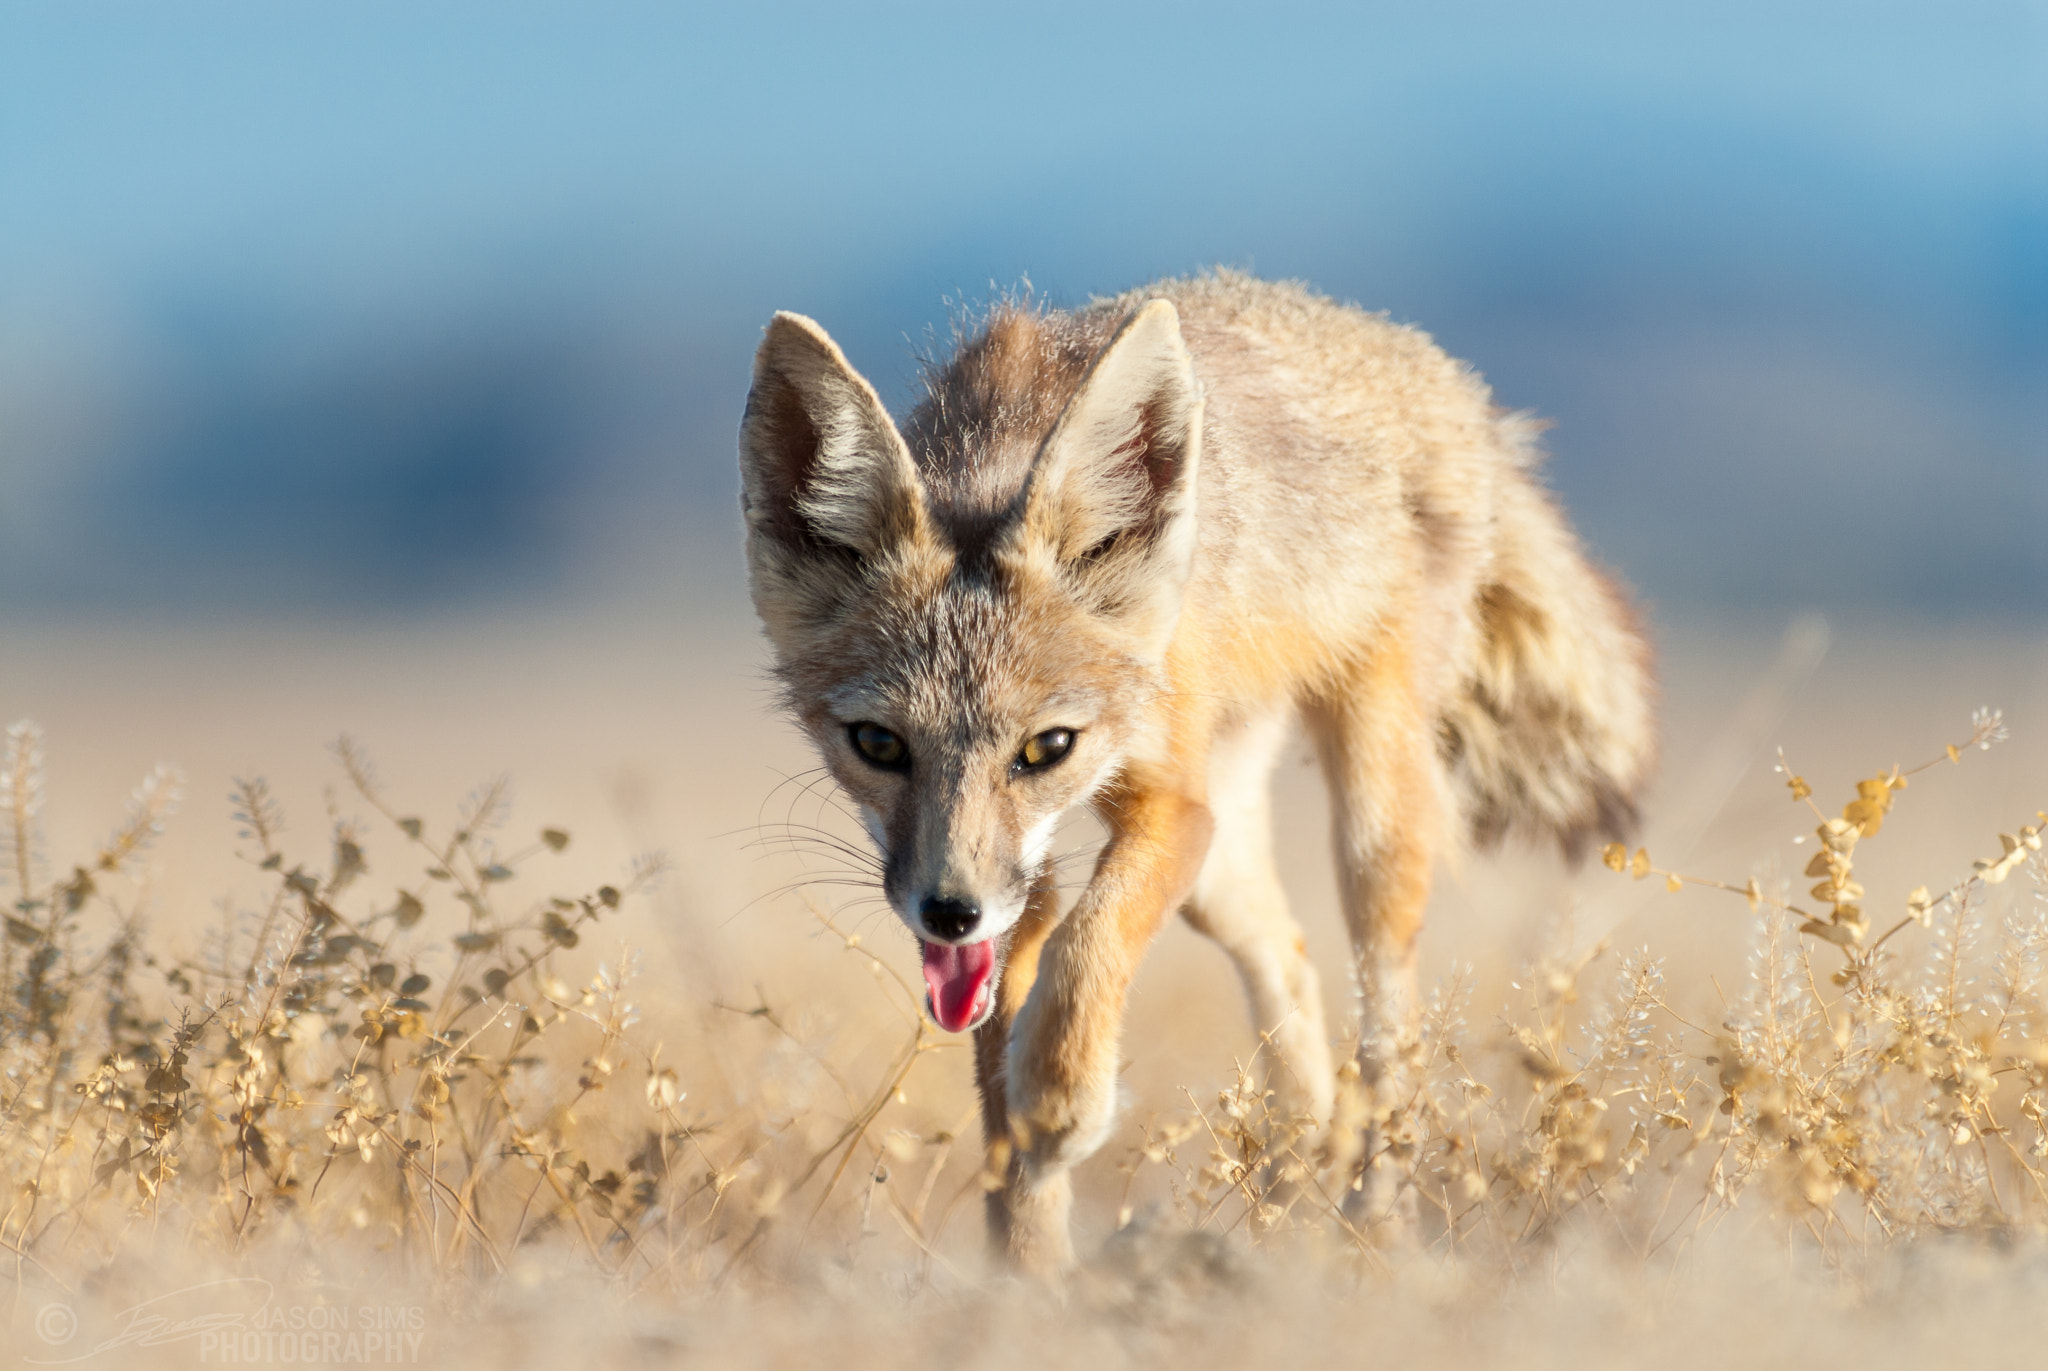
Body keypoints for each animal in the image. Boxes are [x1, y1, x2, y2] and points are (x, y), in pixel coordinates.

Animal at [736, 270, 1653, 1275]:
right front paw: (1028, 1262)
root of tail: (1448, 381)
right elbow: (1002, 1047)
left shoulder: (1171, 808)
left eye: (1045, 748)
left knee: (1387, 1020)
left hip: (1369, 817)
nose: (949, 911)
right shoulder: (1031, 880)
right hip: (1222, 868)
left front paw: (1058, 1103)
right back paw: (1295, 1192)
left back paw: (1372, 1216)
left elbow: (1090, 944)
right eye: (879, 745)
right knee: (1290, 962)